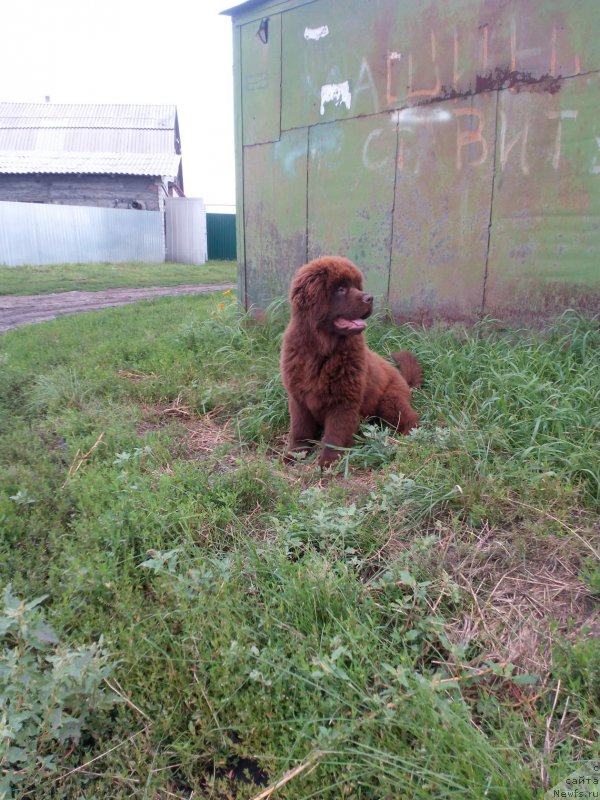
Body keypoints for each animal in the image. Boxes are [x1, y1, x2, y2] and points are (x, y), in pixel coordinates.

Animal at [278, 256, 420, 468]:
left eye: (356, 286)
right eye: (341, 289)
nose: (370, 298)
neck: (321, 351)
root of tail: (403, 378)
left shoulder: (344, 401)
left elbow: (335, 434)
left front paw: (329, 462)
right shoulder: (298, 398)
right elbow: (300, 430)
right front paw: (294, 455)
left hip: (390, 401)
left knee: (411, 419)